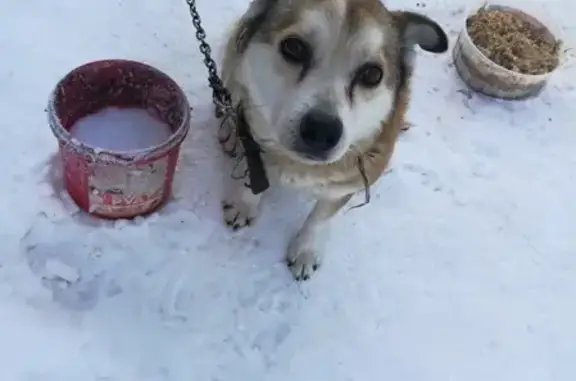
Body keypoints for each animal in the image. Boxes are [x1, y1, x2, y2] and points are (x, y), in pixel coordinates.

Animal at [218, 0, 448, 280]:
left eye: (372, 74)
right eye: (294, 47)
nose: (322, 130)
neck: (297, 166)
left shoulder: (347, 185)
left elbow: (320, 218)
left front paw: (305, 250)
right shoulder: (250, 141)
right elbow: (251, 178)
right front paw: (244, 205)